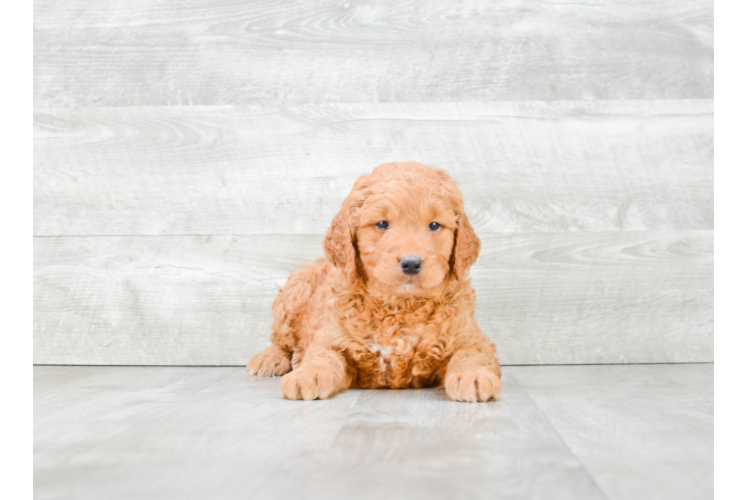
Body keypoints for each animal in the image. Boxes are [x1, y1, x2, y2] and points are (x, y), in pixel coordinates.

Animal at [247, 161, 502, 402]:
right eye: (382, 224)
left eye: (434, 225)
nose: (411, 263)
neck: (399, 304)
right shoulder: (332, 337)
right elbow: (323, 355)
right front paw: (309, 374)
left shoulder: (469, 336)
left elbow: (471, 353)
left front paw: (473, 375)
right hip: (297, 287)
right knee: (282, 340)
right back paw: (271, 358)